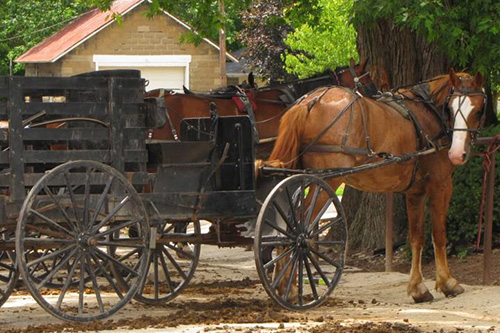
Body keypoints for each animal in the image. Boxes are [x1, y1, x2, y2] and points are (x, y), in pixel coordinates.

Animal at [264, 69, 486, 304]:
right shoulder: (441, 185)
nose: (457, 154)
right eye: (451, 108)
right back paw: (289, 286)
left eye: (478, 110)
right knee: (298, 229)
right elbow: (439, 234)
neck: (428, 112)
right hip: (325, 183)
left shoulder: (415, 192)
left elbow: (416, 238)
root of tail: (309, 102)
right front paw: (447, 282)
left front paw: (418, 288)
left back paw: (283, 283)